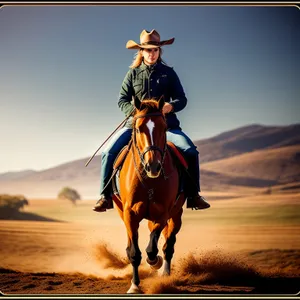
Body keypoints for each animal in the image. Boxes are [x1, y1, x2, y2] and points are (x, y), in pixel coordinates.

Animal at [111, 96, 186, 292]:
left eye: (164, 128)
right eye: (138, 128)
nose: (153, 166)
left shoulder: (162, 214)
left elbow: (152, 249)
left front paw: (155, 262)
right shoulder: (130, 215)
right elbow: (134, 252)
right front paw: (135, 286)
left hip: (176, 215)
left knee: (168, 246)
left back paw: (165, 272)